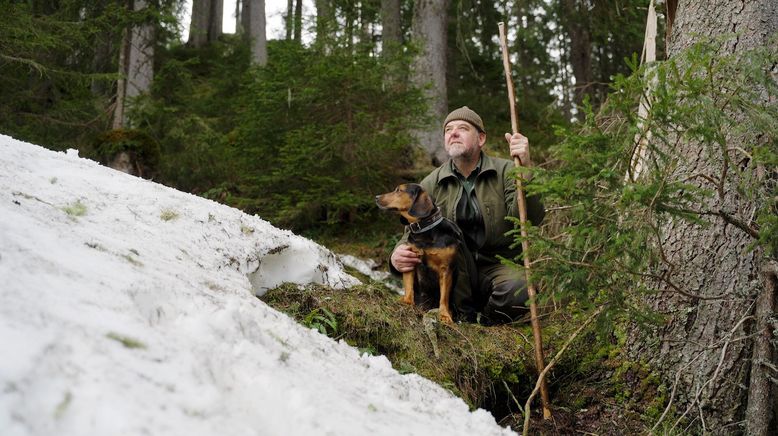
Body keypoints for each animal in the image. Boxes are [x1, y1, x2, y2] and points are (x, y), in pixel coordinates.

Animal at [374, 184, 460, 324]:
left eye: (399, 190)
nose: (376, 197)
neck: (424, 232)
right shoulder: (410, 262)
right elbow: (409, 288)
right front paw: (407, 302)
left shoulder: (446, 270)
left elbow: (444, 297)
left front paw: (444, 315)